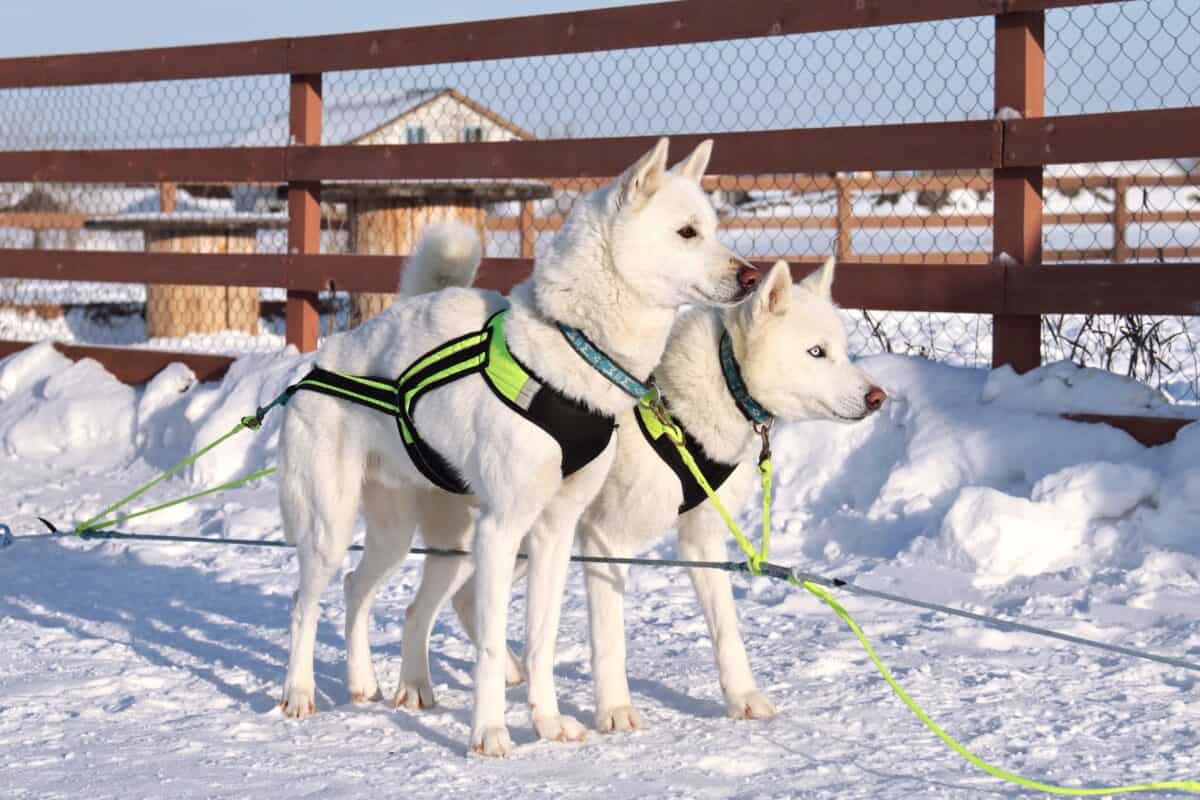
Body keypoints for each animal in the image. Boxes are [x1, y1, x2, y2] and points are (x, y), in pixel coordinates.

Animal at [277, 137, 758, 758]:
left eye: (713, 227)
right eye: (686, 232)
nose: (751, 276)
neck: (570, 346)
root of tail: (322, 361)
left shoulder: (555, 531)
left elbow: (540, 640)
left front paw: (548, 723)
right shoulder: (502, 528)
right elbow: (489, 645)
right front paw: (490, 733)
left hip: (410, 537)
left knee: (359, 588)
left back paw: (371, 682)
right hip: (333, 529)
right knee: (304, 602)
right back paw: (298, 693)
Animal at [360, 227, 888, 734]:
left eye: (843, 351)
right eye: (816, 352)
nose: (878, 396)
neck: (694, 396)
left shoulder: (701, 539)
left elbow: (727, 629)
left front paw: (742, 697)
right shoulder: (606, 540)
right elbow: (610, 641)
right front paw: (614, 710)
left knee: (452, 603)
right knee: (431, 605)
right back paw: (418, 686)